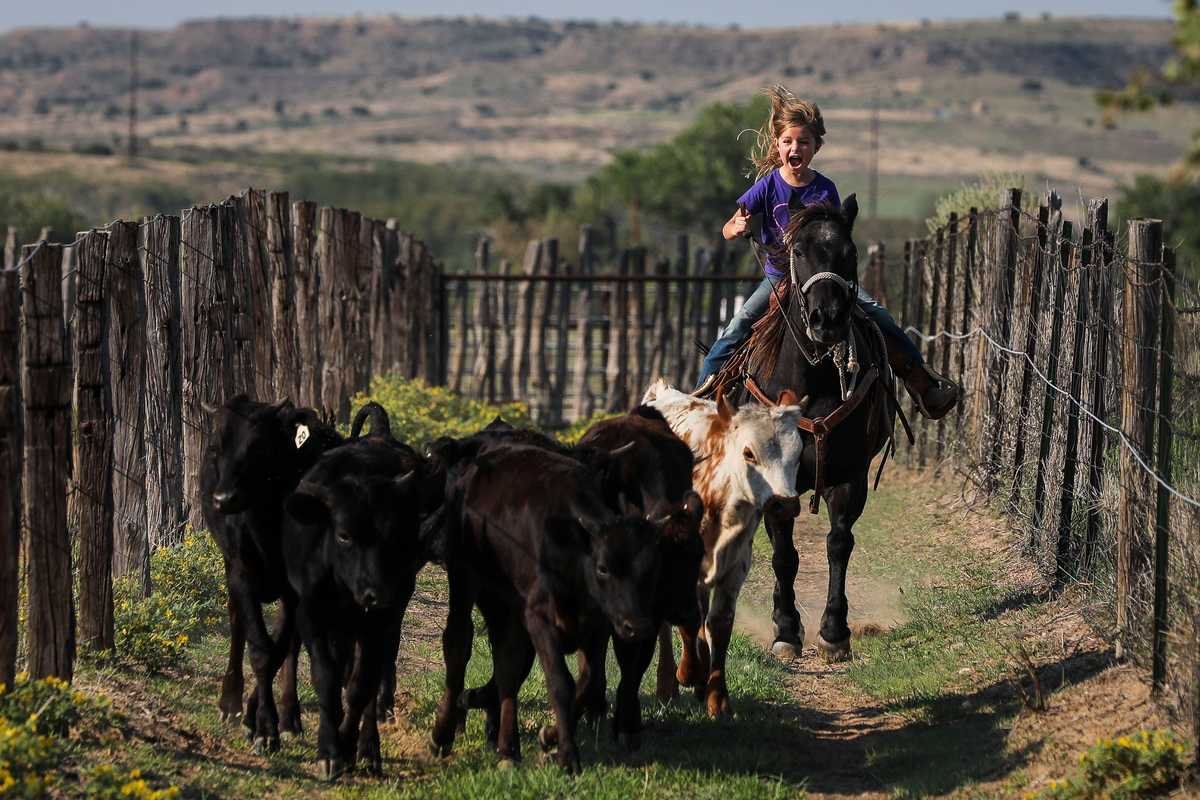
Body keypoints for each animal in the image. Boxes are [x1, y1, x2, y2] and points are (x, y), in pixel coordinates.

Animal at [643, 381, 801, 719]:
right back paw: (668, 684)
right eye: (748, 453)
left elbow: (719, 623)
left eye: (797, 455)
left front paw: (717, 697)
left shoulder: (735, 566)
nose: (785, 503)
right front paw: (688, 673)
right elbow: (689, 619)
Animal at [748, 199, 902, 662]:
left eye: (849, 253)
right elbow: (784, 554)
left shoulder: (849, 477)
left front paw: (834, 632)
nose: (827, 319)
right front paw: (786, 630)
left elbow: (838, 544)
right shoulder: (776, 485)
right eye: (798, 251)